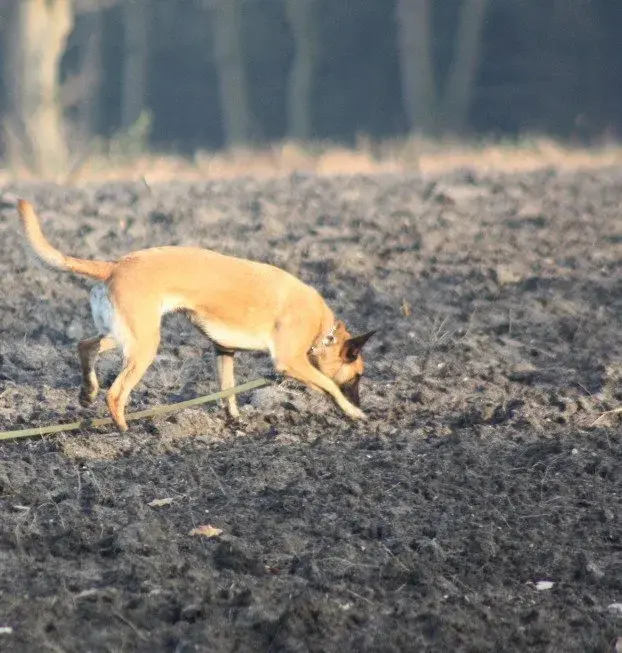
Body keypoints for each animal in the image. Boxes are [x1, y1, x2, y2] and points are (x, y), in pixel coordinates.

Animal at [17, 200, 376, 432]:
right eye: (357, 376)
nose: (363, 402)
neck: (324, 332)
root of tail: (115, 265)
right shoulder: (291, 361)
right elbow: (328, 385)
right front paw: (353, 413)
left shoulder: (224, 351)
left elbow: (228, 389)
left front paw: (235, 421)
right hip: (144, 345)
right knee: (115, 393)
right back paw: (123, 430)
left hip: (125, 337)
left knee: (85, 346)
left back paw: (87, 392)